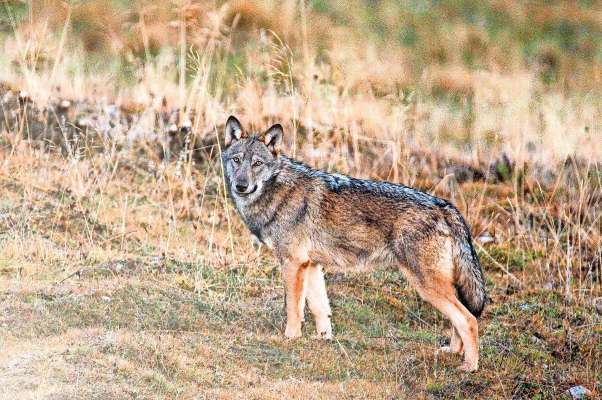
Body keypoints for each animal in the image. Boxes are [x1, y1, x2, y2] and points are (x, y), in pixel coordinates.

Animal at [219, 115, 482, 372]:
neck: (277, 191)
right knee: (460, 317)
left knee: (469, 319)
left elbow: (294, 309)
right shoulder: (311, 265)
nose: (241, 185)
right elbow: (320, 309)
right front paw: (323, 339)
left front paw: (290, 338)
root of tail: (445, 206)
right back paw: (452, 352)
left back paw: (469, 366)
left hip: (426, 285)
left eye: (257, 163)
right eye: (237, 160)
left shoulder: (294, 264)